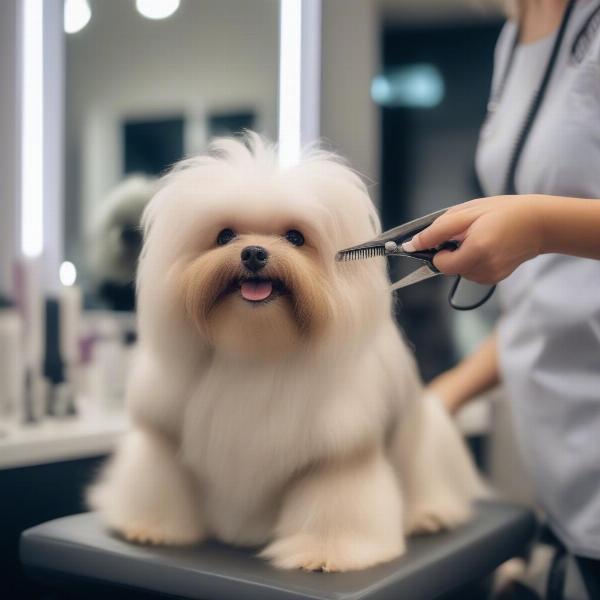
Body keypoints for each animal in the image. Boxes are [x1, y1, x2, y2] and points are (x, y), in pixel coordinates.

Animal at [88, 135, 482, 572]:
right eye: (224, 236)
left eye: (295, 237)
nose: (254, 253)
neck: (255, 347)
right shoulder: (163, 440)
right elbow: (159, 483)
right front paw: (150, 526)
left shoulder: (336, 458)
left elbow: (335, 506)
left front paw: (326, 554)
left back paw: (429, 515)